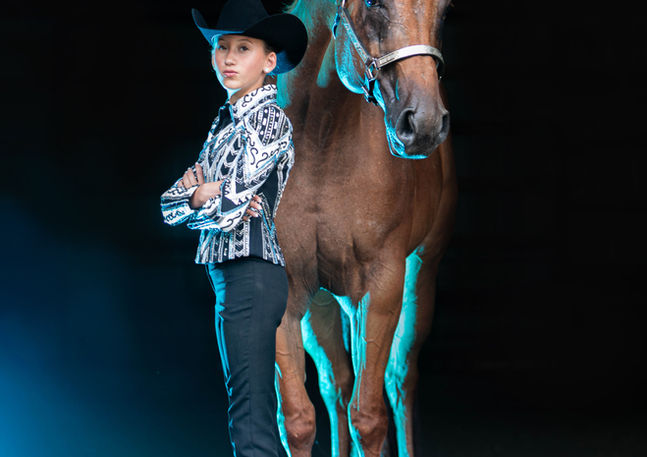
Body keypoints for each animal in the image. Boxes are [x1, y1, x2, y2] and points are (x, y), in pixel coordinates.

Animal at [273, 1, 456, 456]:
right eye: (372, 4)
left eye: (446, 11)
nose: (425, 123)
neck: (319, 148)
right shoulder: (287, 294)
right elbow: (298, 421)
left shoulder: (380, 288)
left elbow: (369, 418)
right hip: (322, 302)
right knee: (336, 385)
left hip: (419, 275)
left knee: (399, 378)